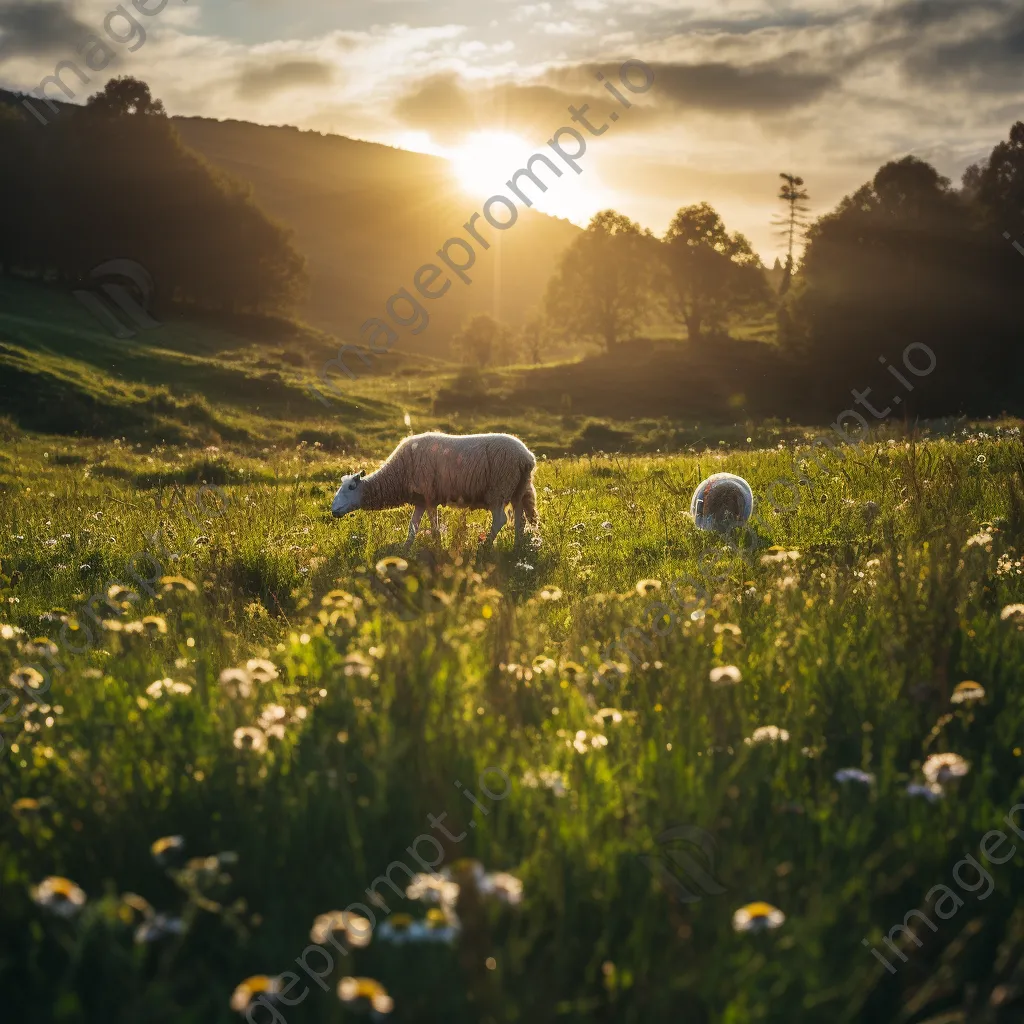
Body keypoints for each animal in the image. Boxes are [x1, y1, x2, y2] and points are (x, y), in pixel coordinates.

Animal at [333, 430, 544, 548]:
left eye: (351, 487)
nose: (333, 511)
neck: (399, 473)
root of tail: (527, 458)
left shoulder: (429, 497)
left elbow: (433, 528)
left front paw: (438, 547)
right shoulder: (420, 500)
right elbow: (412, 528)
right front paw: (404, 550)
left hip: (499, 489)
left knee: (500, 520)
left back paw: (485, 546)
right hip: (518, 490)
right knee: (520, 520)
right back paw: (517, 547)